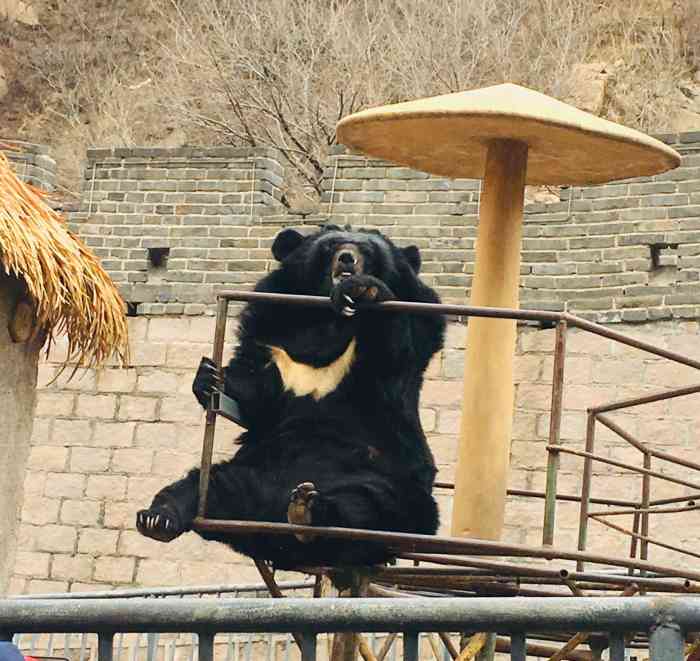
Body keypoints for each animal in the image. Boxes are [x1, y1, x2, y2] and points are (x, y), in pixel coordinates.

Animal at [136, 224, 445, 569]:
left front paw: (362, 289)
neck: (329, 320)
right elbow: (256, 390)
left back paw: (310, 511)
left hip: (390, 486)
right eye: (330, 247)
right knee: (199, 484)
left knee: (368, 508)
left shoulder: (414, 327)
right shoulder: (273, 330)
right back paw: (158, 518)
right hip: (249, 470)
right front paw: (208, 378)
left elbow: (395, 351)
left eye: (369, 251)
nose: (347, 259)